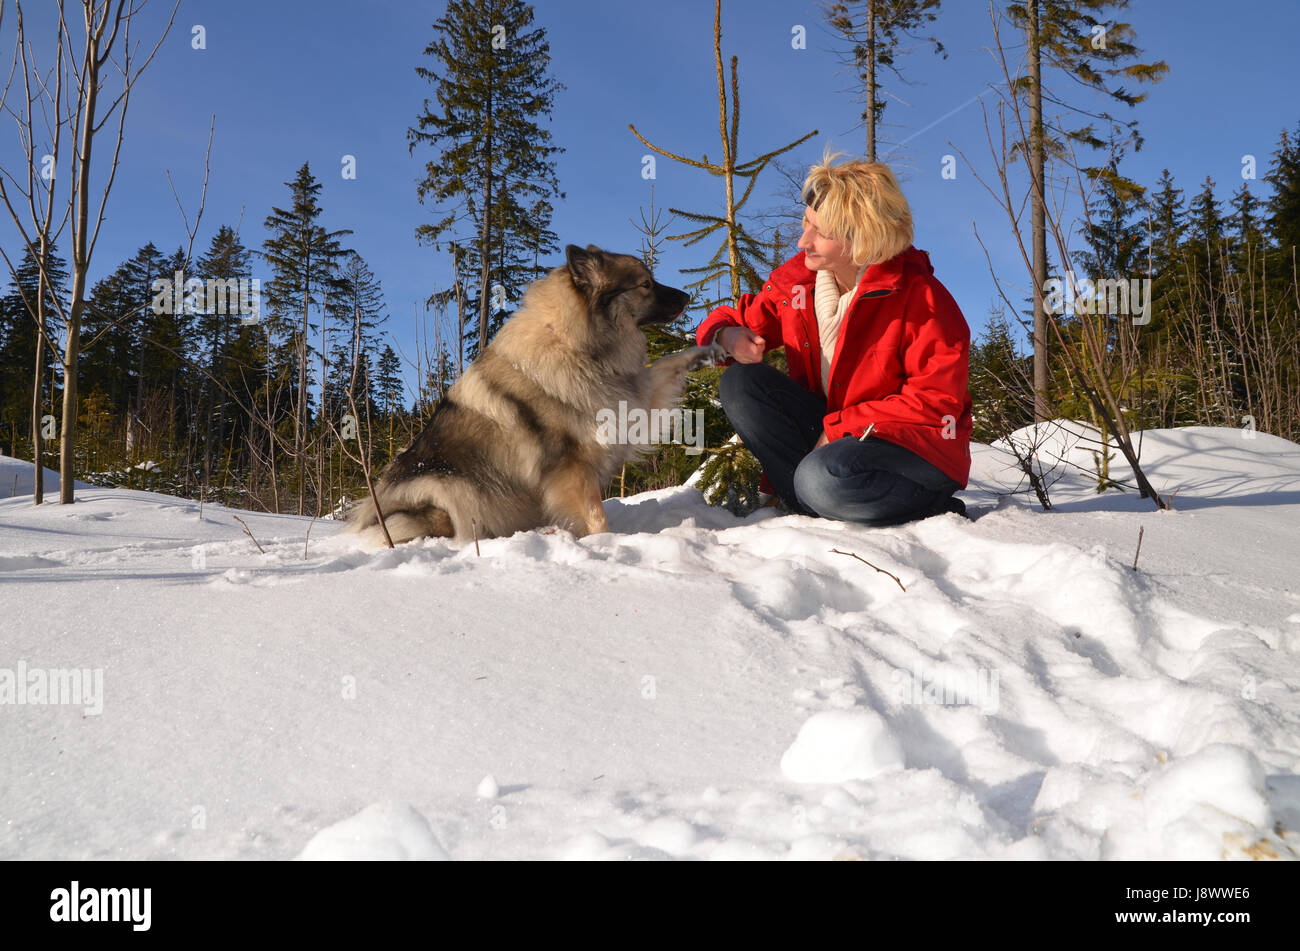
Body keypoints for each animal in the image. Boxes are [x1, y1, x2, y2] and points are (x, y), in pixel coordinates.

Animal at [351, 241, 728, 545]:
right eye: (646, 285)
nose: (687, 296)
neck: (574, 345)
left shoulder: (632, 394)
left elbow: (668, 363)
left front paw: (706, 351)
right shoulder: (571, 467)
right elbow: (596, 515)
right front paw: (605, 543)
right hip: (449, 484)